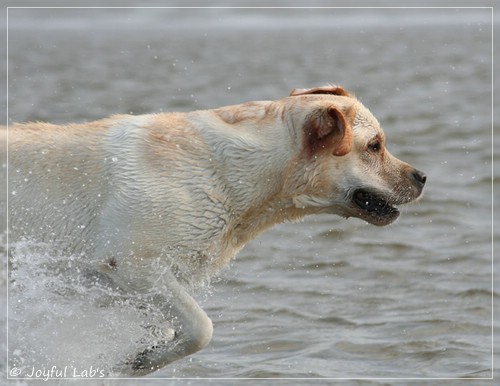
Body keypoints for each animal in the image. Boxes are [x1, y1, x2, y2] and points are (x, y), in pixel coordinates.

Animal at [5, 86, 424, 376]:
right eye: (374, 146)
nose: (422, 177)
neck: (230, 173)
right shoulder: (132, 264)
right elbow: (202, 327)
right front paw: (138, 361)